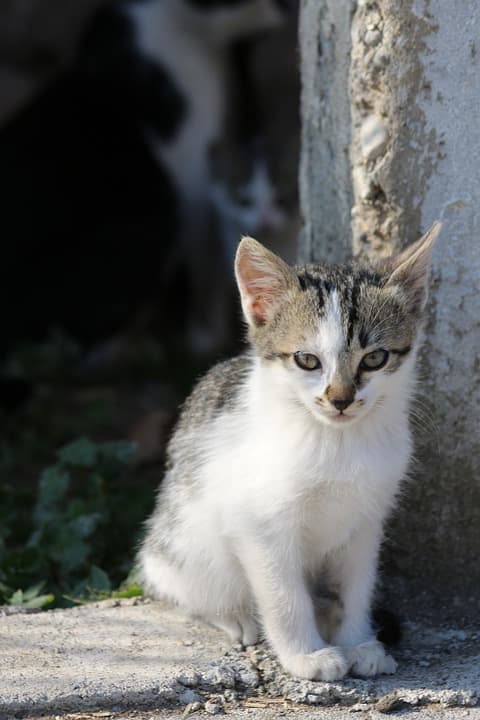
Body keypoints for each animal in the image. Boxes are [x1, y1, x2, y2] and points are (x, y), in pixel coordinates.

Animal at [137, 221, 440, 680]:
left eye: (375, 358)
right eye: (306, 360)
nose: (341, 399)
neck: (335, 441)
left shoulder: (367, 519)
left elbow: (357, 583)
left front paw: (356, 641)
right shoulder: (259, 524)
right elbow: (284, 595)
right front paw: (306, 655)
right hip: (184, 539)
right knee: (185, 585)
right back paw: (235, 614)